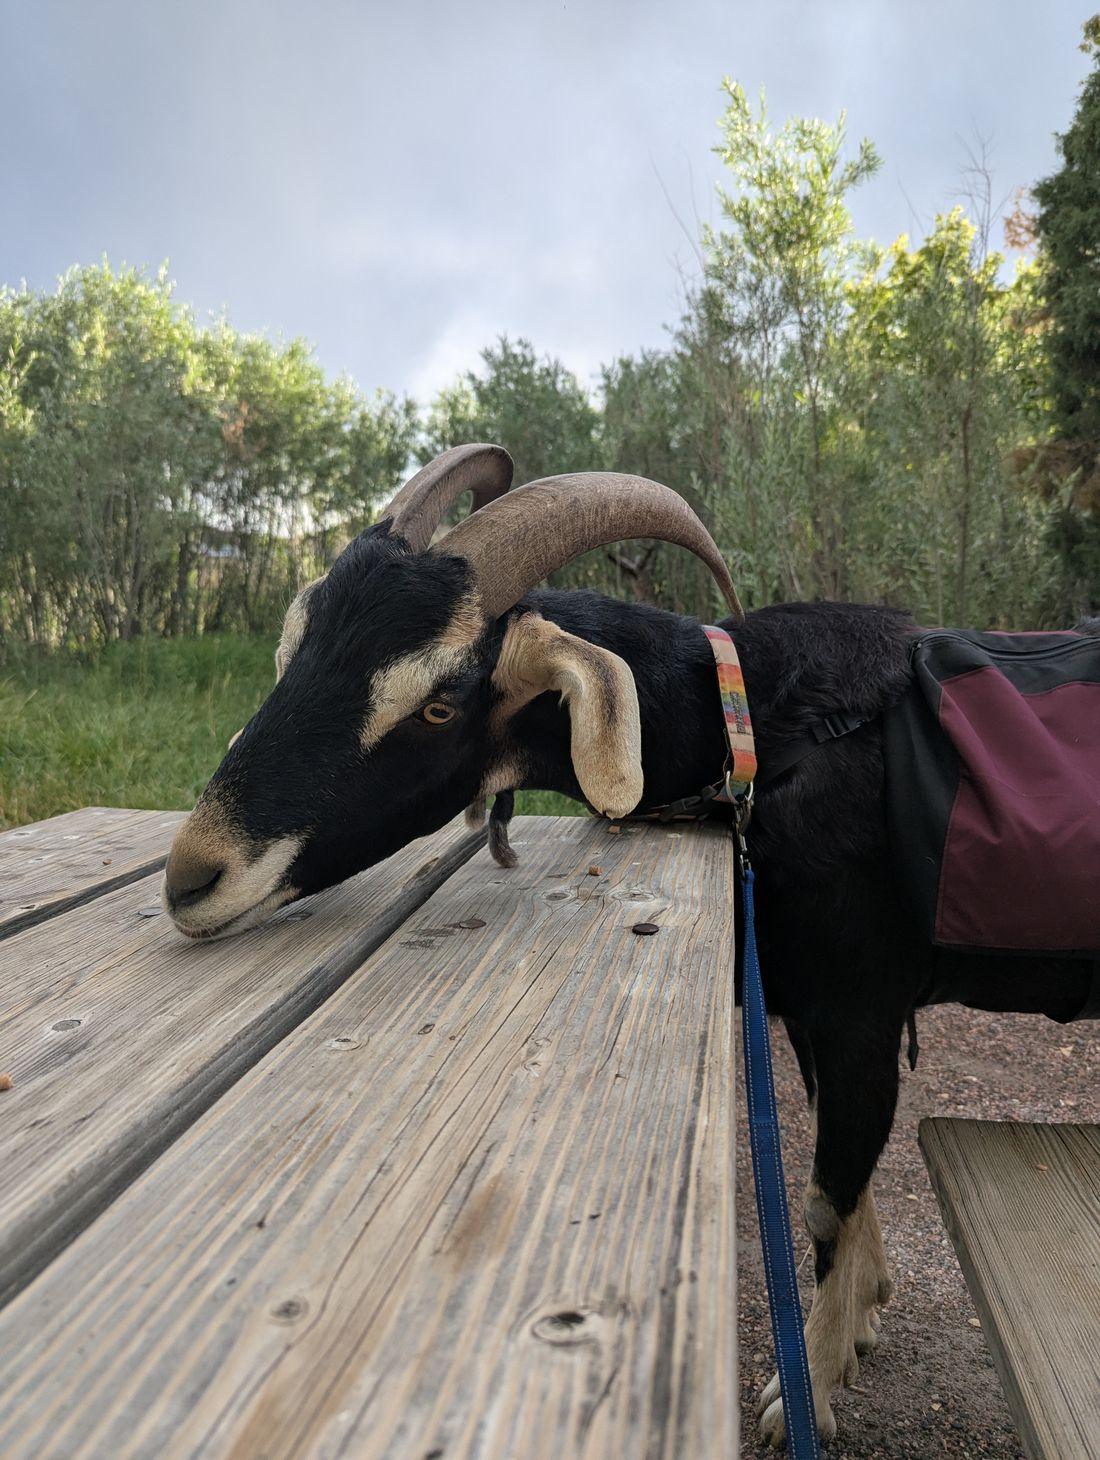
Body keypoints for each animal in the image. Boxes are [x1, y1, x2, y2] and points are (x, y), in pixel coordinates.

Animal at [164, 445, 1098, 1448]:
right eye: (290, 653)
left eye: (440, 703)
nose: (190, 878)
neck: (759, 731)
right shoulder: (811, 1007)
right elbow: (844, 1182)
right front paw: (865, 1316)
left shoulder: (860, 1007)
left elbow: (821, 1201)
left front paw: (804, 1392)